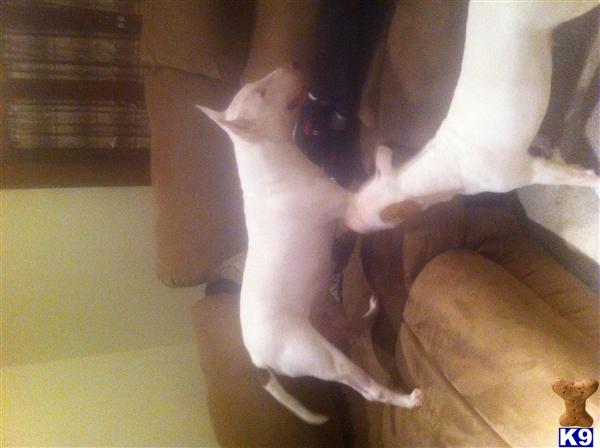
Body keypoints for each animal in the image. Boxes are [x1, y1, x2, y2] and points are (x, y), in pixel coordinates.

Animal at [198, 64, 422, 424]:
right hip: (323, 358)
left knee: (348, 327)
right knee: (368, 389)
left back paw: (369, 314)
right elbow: (375, 187)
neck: (267, 160)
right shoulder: (350, 204)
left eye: (256, 84)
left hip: (323, 309)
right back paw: (405, 399)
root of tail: (256, 357)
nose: (288, 65)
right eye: (261, 92)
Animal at [345, 2, 600, 233]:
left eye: (369, 228)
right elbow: (542, 143)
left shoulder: (532, 172)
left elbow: (577, 177)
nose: (344, 222)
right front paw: (548, 145)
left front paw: (595, 185)